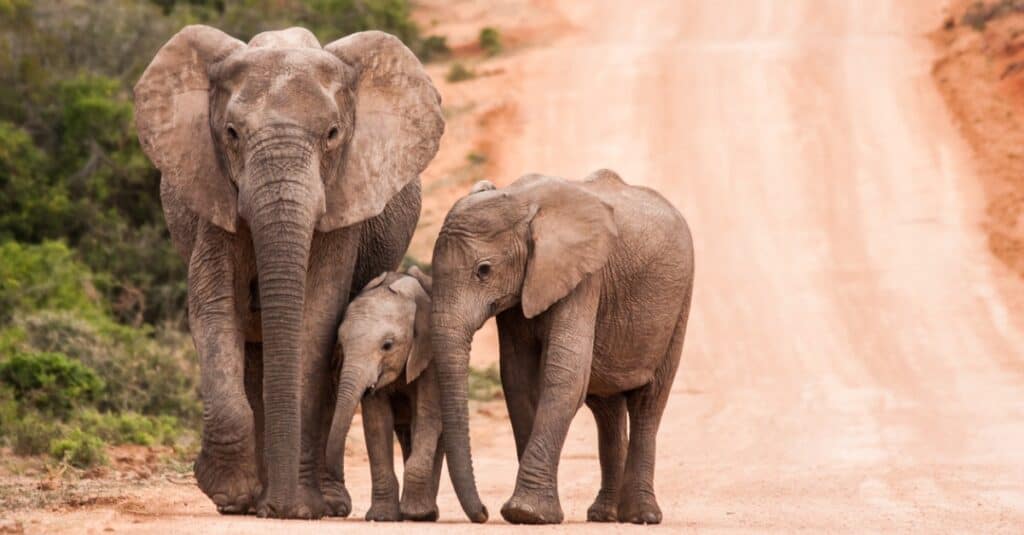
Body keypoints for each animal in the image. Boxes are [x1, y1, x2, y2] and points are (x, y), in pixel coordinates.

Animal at [325, 266, 442, 520]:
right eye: (341, 345)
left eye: (387, 345)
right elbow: (377, 423)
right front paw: (381, 517)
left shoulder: (431, 358)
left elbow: (426, 417)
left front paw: (418, 514)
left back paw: (427, 512)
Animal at [428, 172, 692, 524]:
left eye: (483, 270)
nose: (482, 513)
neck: (521, 200)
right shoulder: (522, 292)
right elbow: (518, 380)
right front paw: (528, 513)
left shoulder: (585, 278)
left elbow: (564, 376)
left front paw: (526, 513)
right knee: (606, 408)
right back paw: (603, 515)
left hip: (679, 305)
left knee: (649, 403)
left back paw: (642, 517)